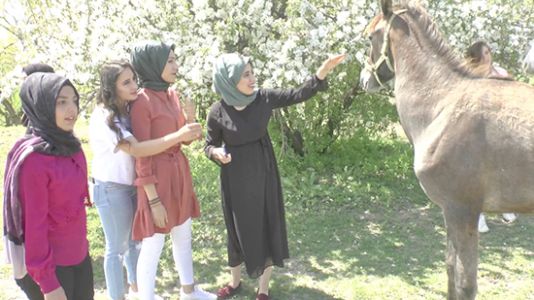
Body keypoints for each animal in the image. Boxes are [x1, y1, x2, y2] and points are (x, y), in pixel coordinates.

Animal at [362, 0, 534, 300]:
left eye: (370, 37)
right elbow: (450, 270)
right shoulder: (450, 212)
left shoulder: (461, 210)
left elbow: (464, 283)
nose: (364, 78)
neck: (442, 105)